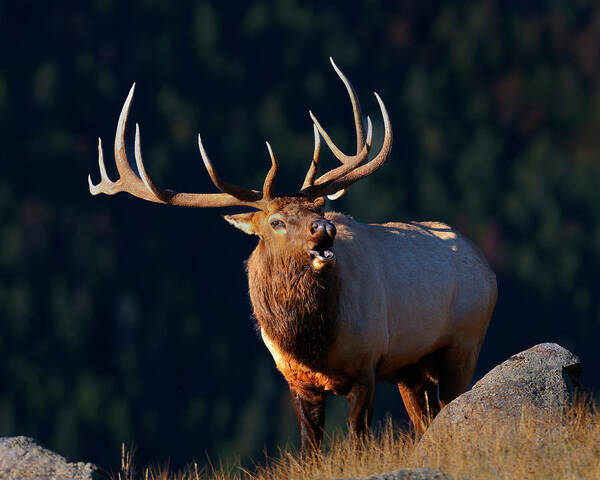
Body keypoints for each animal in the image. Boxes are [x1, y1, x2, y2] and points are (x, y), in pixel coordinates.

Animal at [88, 59, 496, 450]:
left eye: (319, 208)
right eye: (277, 222)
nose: (324, 228)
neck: (312, 344)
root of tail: (486, 267)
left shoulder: (366, 365)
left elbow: (358, 443)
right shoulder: (295, 379)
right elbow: (309, 449)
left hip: (465, 341)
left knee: (452, 402)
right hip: (413, 368)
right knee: (426, 417)